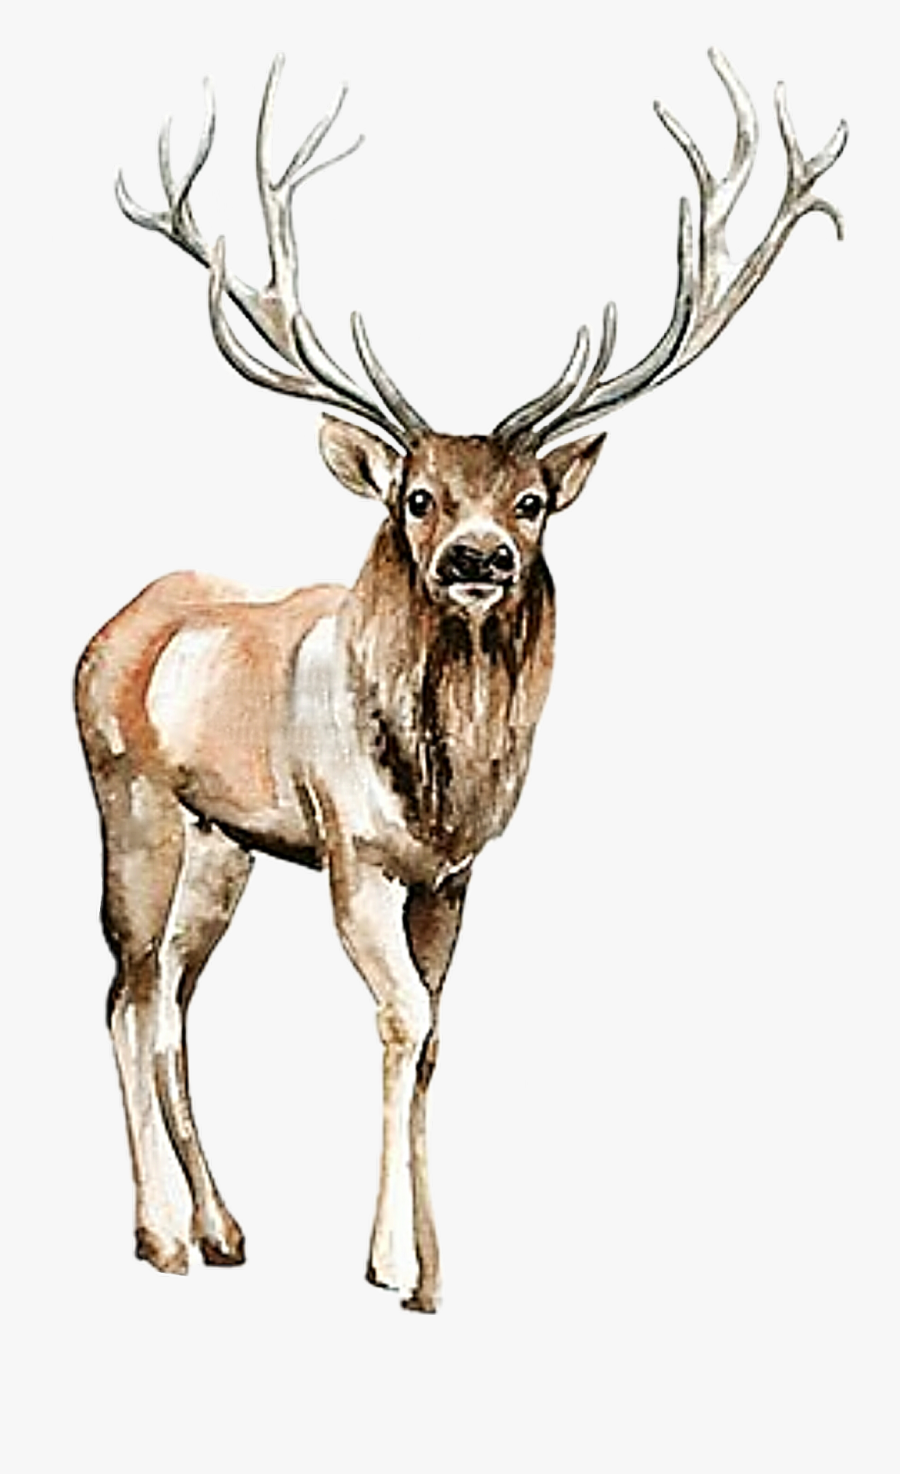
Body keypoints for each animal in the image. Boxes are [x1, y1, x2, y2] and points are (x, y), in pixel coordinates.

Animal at [75, 51, 846, 1311]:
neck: (441, 781)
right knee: (125, 991)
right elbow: (398, 1015)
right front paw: (388, 1259)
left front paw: (437, 1267)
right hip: (128, 800)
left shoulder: (455, 873)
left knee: (172, 1003)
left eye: (530, 500)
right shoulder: (350, 849)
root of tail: (105, 632)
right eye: (417, 496)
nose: (477, 559)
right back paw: (161, 1233)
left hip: (224, 842)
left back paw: (225, 1225)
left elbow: (436, 1029)